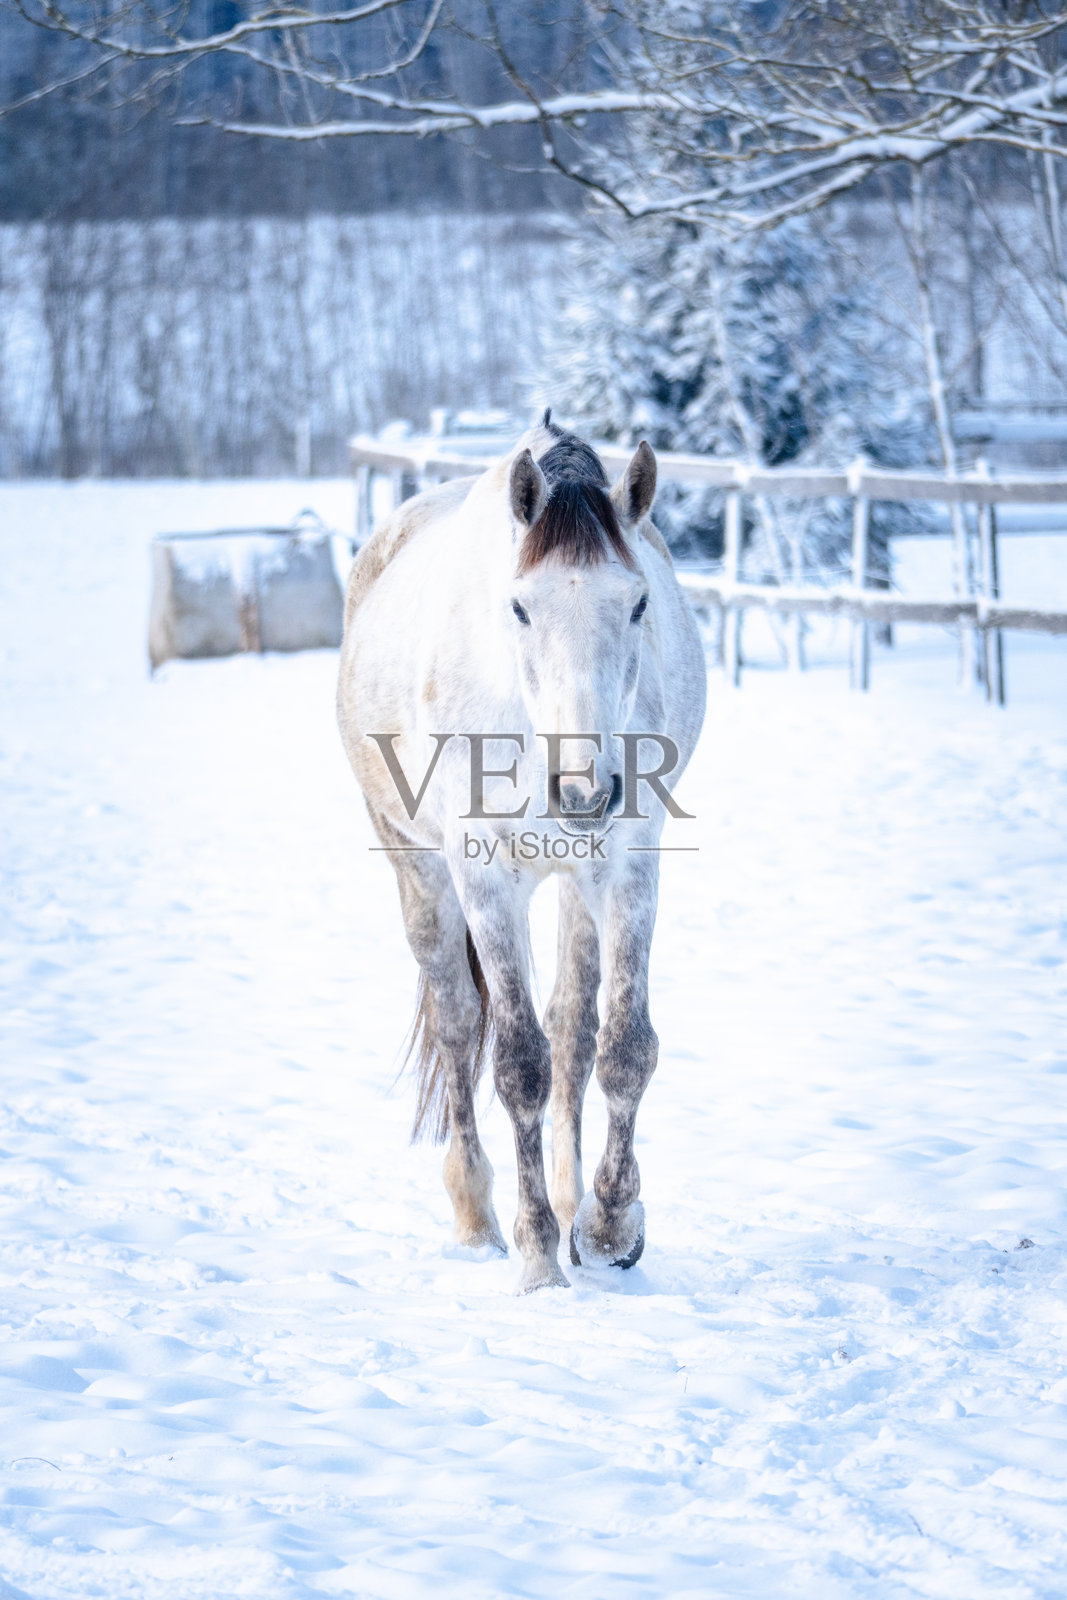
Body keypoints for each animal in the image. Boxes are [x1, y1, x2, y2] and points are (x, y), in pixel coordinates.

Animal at [337, 412, 706, 1292]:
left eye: (637, 602)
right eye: (519, 607)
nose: (583, 789)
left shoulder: (629, 863)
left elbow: (622, 1047)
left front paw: (608, 1228)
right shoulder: (482, 878)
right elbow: (515, 1064)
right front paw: (539, 1253)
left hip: (573, 880)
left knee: (572, 1024)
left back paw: (574, 1208)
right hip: (418, 873)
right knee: (457, 1024)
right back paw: (477, 1217)